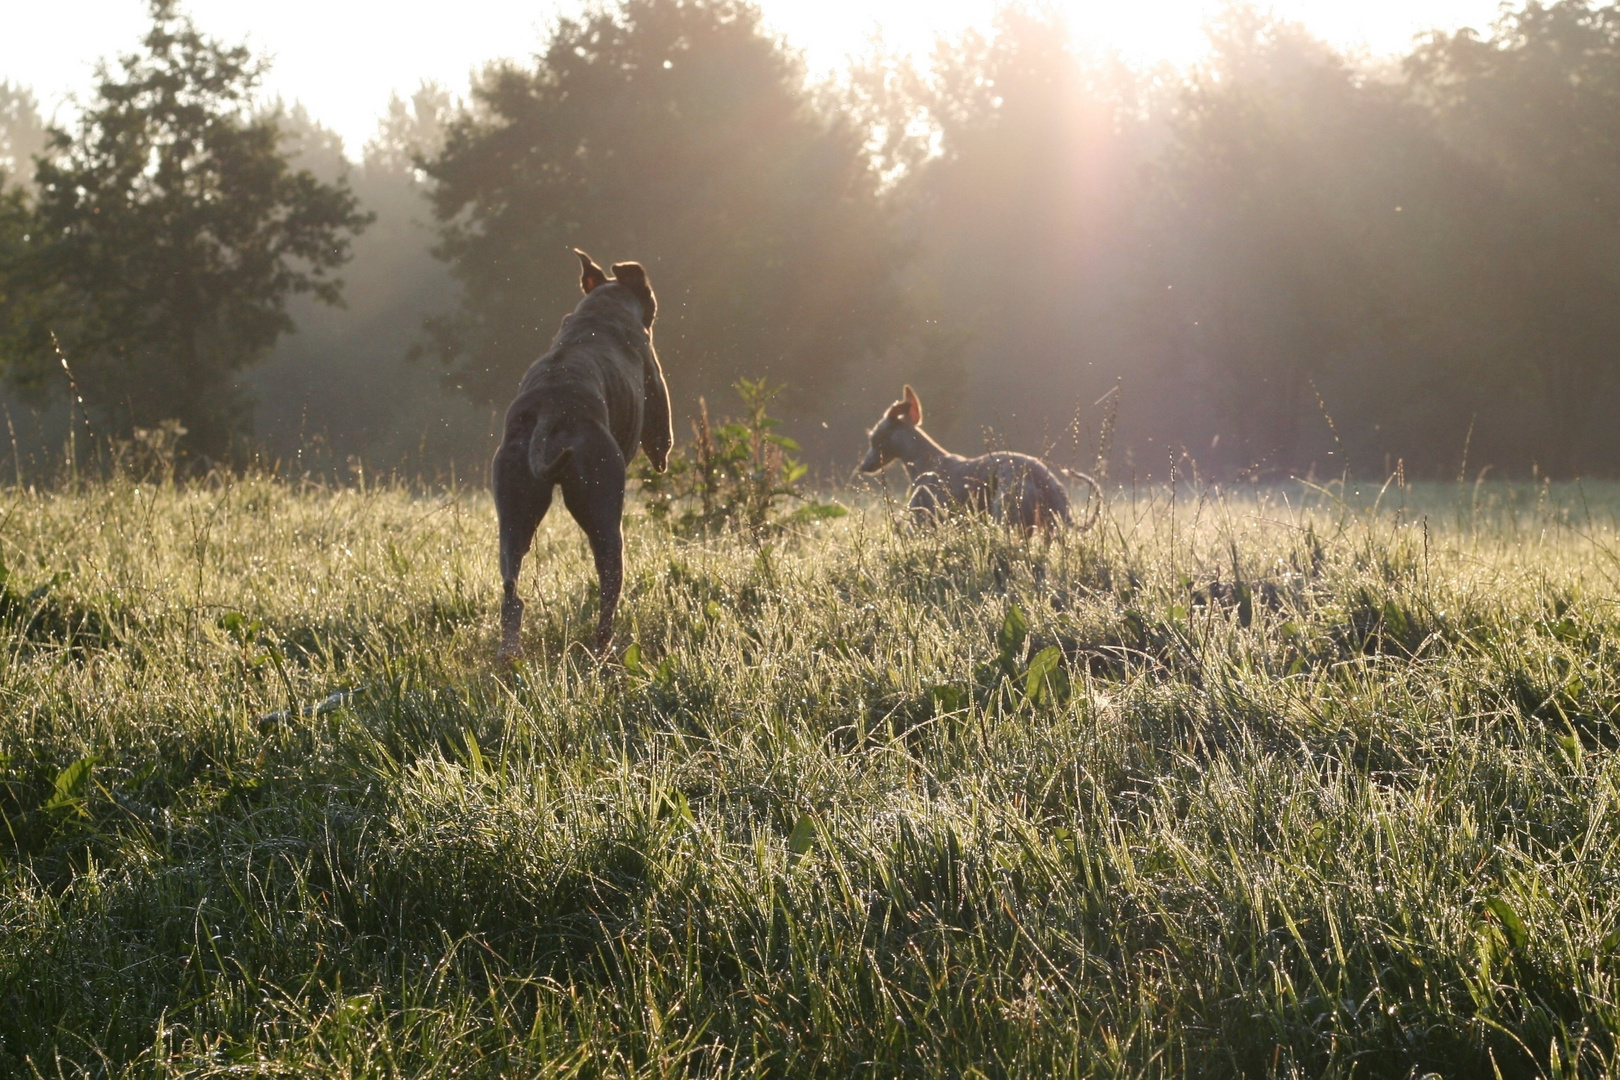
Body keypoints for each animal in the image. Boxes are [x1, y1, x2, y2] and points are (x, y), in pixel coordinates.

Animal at [492, 250, 670, 660]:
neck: (600, 308)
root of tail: (548, 414)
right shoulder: (654, 378)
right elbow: (660, 432)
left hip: (514, 510)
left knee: (512, 593)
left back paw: (509, 653)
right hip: (604, 507)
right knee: (609, 588)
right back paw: (603, 647)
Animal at [861, 386, 1101, 534]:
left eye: (874, 438)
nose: (863, 466)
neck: (926, 461)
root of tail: (1047, 482)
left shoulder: (922, 521)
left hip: (1005, 517)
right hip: (1048, 531)